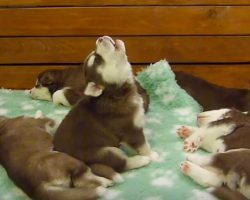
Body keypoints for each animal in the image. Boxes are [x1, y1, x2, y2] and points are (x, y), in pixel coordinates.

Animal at [53, 35, 158, 178]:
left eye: (95, 52)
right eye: (97, 61)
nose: (100, 38)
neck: (116, 93)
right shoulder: (131, 130)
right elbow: (143, 145)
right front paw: (152, 155)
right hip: (106, 152)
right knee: (121, 164)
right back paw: (142, 160)